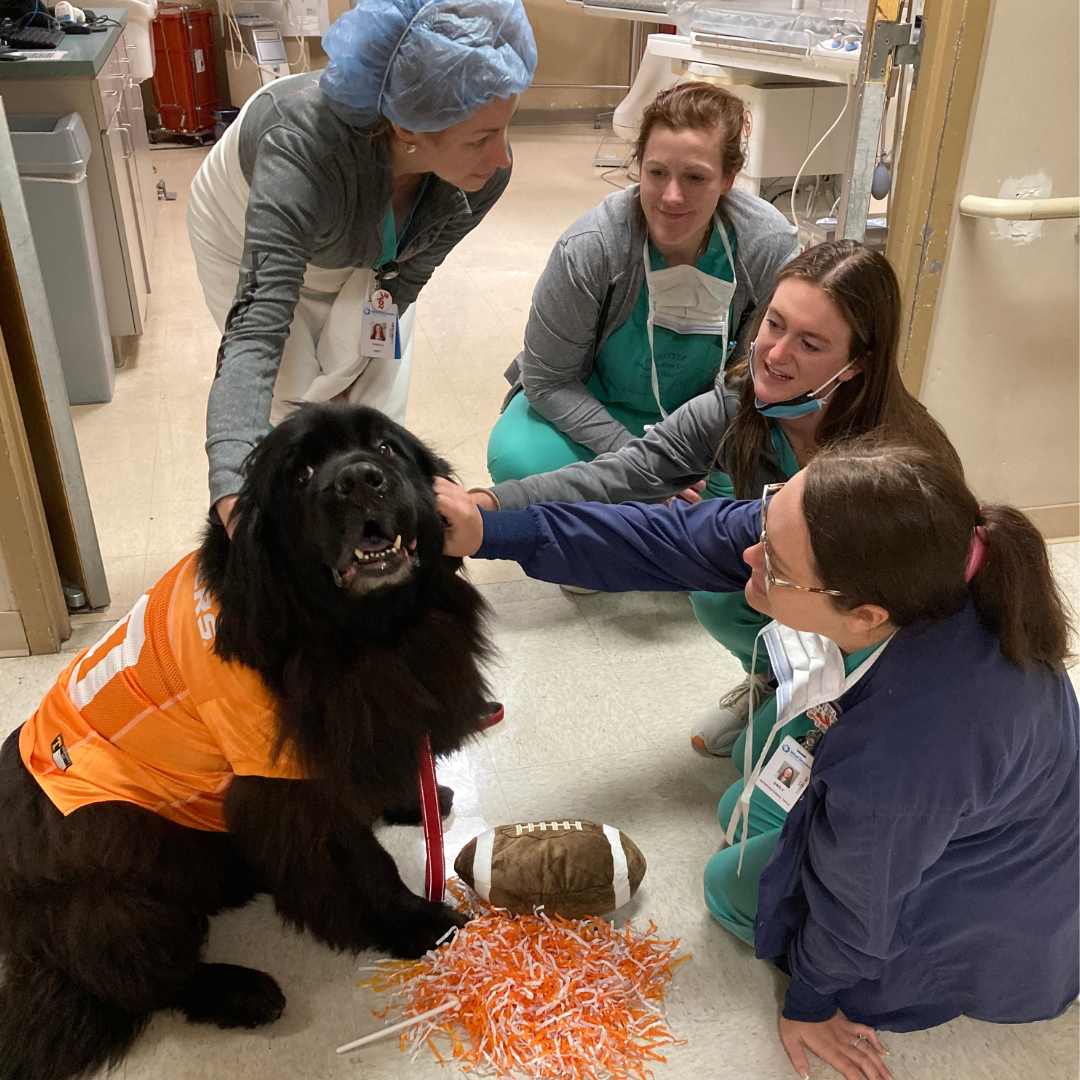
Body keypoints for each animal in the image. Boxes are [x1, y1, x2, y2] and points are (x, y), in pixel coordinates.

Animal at [0, 406, 494, 1080]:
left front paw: (412, 800)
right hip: (111, 882)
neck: (356, 635)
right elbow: (364, 864)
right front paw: (419, 922)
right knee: (140, 975)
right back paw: (239, 991)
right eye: (302, 473)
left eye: (386, 447)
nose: (358, 479)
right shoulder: (284, 790)